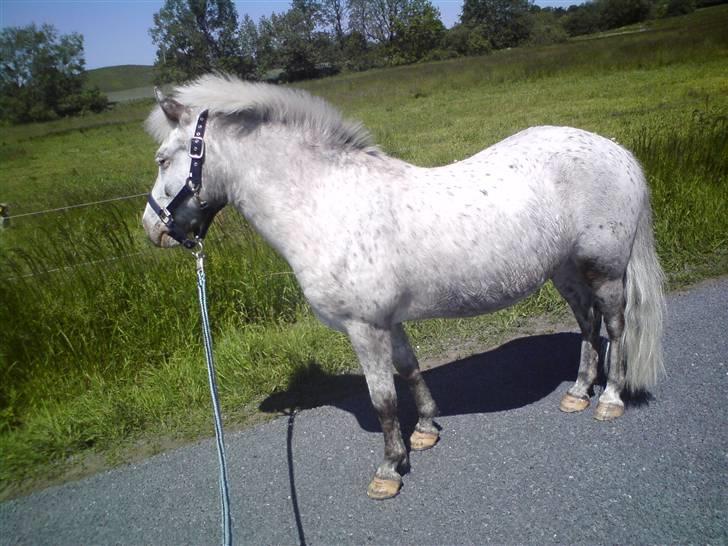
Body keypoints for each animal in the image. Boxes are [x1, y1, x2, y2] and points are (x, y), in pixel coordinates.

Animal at [142, 75, 664, 498]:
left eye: (163, 159)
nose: (152, 229)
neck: (326, 202)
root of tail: (617, 151)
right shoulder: (387, 322)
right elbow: (410, 372)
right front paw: (427, 430)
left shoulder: (364, 328)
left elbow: (384, 400)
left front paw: (390, 470)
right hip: (566, 271)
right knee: (587, 326)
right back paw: (578, 392)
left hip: (605, 269)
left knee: (615, 328)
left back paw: (609, 400)